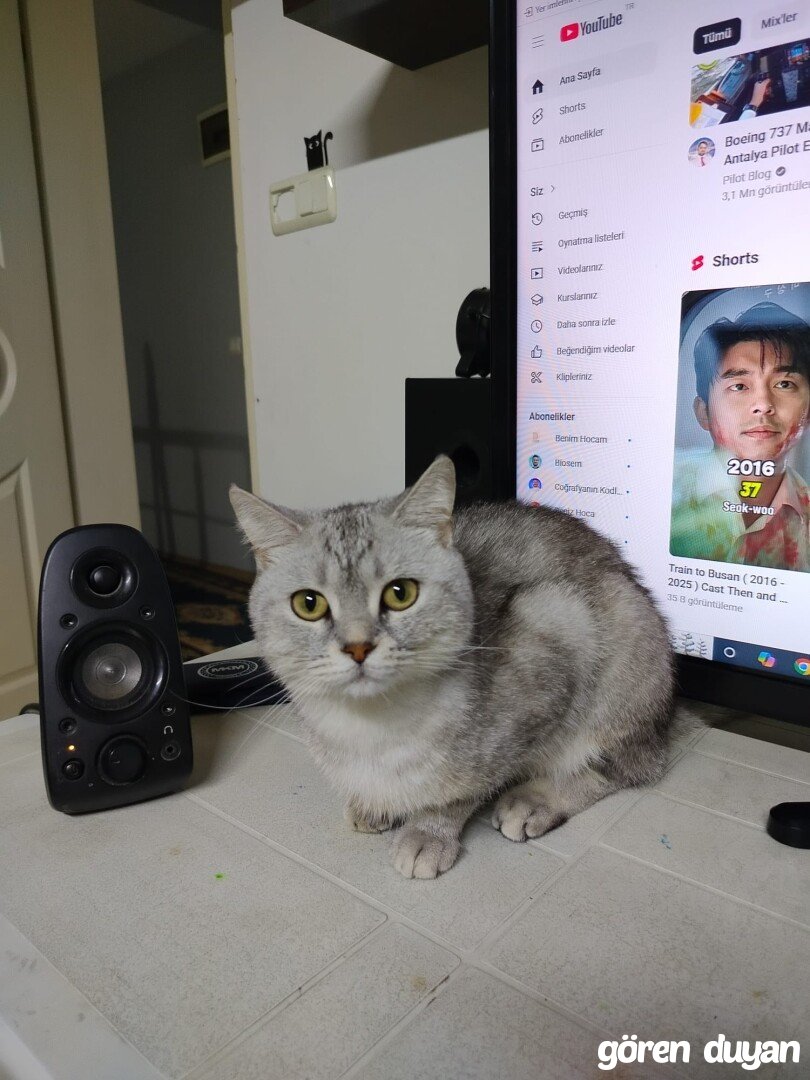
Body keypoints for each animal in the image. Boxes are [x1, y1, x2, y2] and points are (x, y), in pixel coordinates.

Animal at [229, 456, 677, 880]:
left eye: (400, 594)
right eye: (309, 603)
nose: (358, 647)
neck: (373, 728)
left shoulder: (552, 641)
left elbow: (463, 788)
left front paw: (429, 830)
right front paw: (374, 803)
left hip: (622, 650)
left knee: (627, 766)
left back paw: (535, 800)